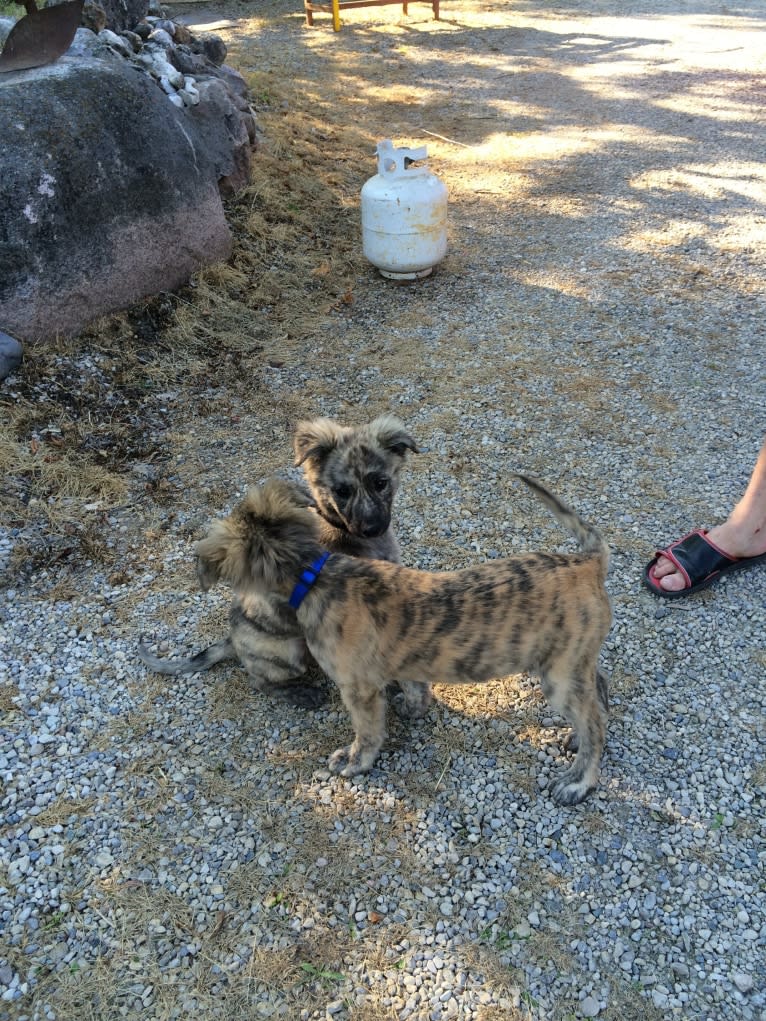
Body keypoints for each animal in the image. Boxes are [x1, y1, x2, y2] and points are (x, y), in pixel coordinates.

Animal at [134, 414, 416, 710]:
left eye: (381, 483)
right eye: (341, 491)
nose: (371, 528)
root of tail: (233, 640)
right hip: (289, 652)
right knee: (259, 681)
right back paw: (300, 693)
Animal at [196, 475, 612, 804]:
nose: (241, 614)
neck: (314, 575)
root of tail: (587, 563)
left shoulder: (358, 689)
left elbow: (367, 733)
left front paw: (354, 762)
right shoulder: (399, 660)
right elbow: (414, 686)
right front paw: (413, 708)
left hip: (559, 676)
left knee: (594, 724)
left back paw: (579, 783)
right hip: (571, 660)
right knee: (598, 695)